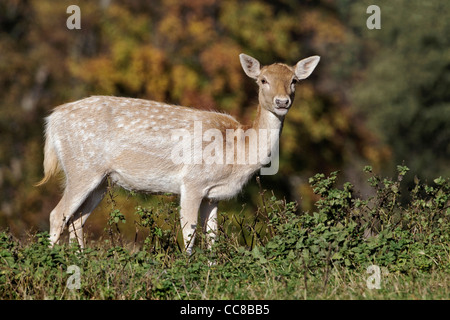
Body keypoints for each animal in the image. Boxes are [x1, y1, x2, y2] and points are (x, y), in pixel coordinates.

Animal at [36, 54, 320, 255]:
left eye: (294, 80)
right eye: (262, 80)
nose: (282, 102)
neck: (237, 151)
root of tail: (52, 120)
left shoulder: (212, 196)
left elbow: (213, 240)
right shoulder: (192, 182)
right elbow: (189, 235)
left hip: (101, 180)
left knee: (77, 220)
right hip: (82, 167)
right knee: (57, 215)